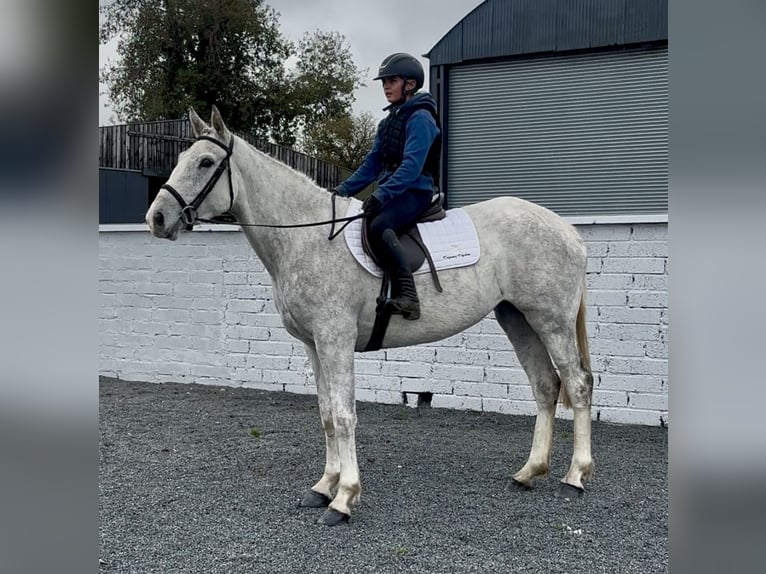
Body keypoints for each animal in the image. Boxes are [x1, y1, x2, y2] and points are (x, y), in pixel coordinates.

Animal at [146, 106, 594, 526]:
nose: (157, 218)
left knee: (577, 384)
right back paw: (529, 472)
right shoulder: (314, 345)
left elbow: (345, 416)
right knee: (545, 386)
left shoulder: (336, 340)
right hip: (517, 318)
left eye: (205, 162)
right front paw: (323, 487)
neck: (309, 237)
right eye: (183, 157)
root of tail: (567, 230)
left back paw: (575, 477)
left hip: (551, 321)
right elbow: (327, 415)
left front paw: (344, 498)